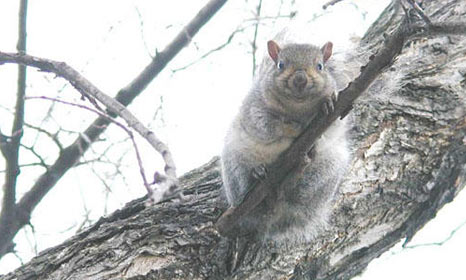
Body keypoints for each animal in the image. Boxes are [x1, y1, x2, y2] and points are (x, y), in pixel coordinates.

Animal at [221, 37, 350, 243]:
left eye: (320, 66)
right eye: (280, 64)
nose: (300, 79)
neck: (297, 108)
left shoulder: (340, 109)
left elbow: (333, 123)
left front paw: (327, 103)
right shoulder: (255, 108)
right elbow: (268, 126)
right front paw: (294, 128)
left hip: (327, 171)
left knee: (298, 193)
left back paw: (298, 172)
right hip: (235, 165)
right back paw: (257, 175)